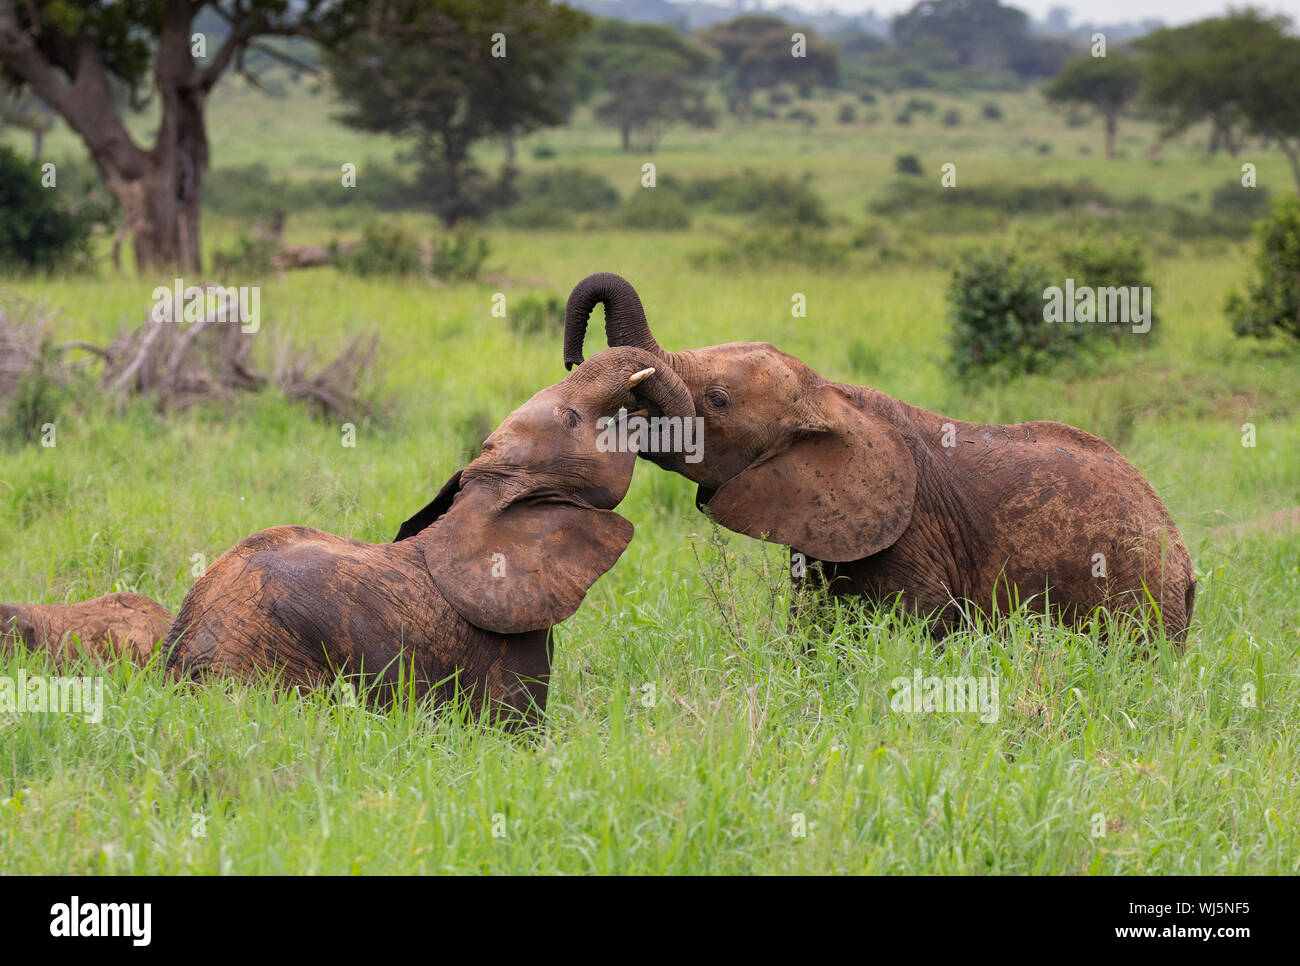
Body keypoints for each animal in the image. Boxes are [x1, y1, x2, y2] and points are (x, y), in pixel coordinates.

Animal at [569, 271, 1196, 642]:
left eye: (719, 400)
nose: (575, 362)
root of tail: (1186, 560)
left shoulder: (917, 532)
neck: (830, 394)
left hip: (1139, 592)